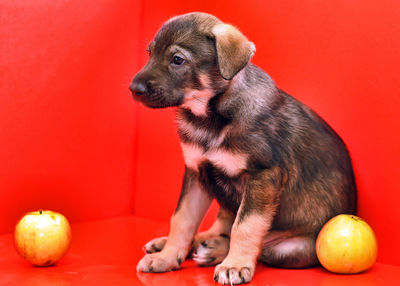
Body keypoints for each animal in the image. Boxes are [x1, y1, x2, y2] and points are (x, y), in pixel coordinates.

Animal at [130, 12, 356, 286]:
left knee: (262, 243)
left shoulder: (263, 177)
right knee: (220, 225)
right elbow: (182, 219)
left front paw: (235, 265)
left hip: (291, 248)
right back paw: (178, 244)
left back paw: (215, 250)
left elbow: (246, 226)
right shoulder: (196, 172)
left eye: (178, 60)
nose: (134, 89)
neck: (210, 118)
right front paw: (167, 256)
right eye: (150, 53)